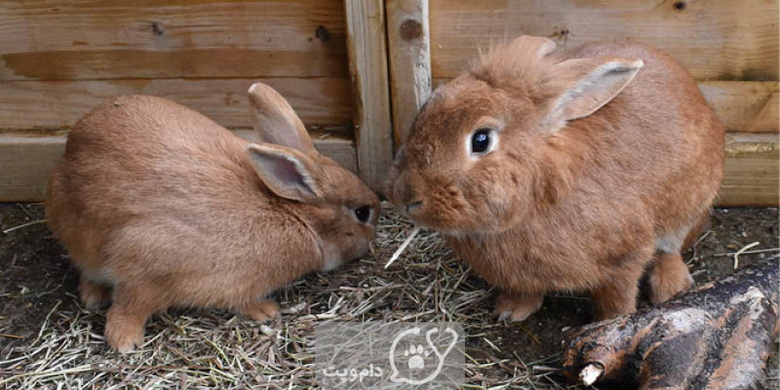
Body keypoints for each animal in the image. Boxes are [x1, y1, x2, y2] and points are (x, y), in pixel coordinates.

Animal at [45, 82, 380, 350]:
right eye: (362, 213)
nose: (371, 241)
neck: (294, 215)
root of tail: (69, 149)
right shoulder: (145, 263)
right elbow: (131, 306)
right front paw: (125, 341)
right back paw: (95, 299)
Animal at [388, 35, 724, 322]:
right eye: (425, 109)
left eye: (481, 140)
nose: (404, 197)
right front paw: (510, 310)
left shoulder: (626, 257)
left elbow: (617, 295)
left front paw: (610, 323)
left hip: (690, 203)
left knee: (671, 247)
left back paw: (671, 286)